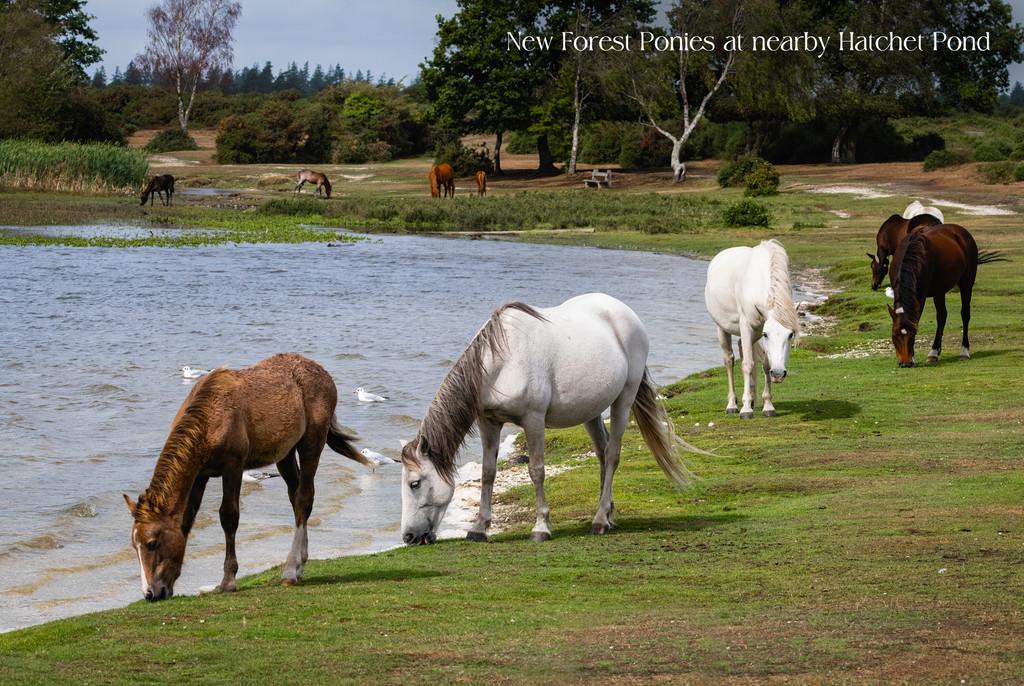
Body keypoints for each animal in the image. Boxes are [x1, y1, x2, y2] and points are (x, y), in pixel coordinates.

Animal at [122, 353, 371, 601]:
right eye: (135, 546)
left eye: (153, 543)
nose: (150, 593)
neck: (211, 417)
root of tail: (323, 373)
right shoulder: (199, 475)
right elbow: (187, 519)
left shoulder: (233, 466)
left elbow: (229, 516)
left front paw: (228, 580)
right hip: (285, 454)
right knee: (296, 497)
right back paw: (300, 565)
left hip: (312, 443)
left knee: (304, 498)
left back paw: (291, 569)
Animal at [399, 293, 692, 545]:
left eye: (415, 483)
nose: (409, 537)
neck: (501, 362)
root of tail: (626, 314)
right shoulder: (488, 422)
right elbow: (488, 473)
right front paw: (479, 528)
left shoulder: (533, 420)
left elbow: (536, 470)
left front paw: (541, 527)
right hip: (591, 411)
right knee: (602, 451)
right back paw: (607, 513)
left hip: (624, 400)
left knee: (612, 455)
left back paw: (599, 521)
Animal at [704, 239, 801, 418]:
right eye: (766, 334)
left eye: (790, 335)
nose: (778, 374)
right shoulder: (747, 327)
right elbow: (747, 364)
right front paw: (745, 409)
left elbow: (765, 365)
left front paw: (768, 405)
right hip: (722, 328)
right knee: (729, 360)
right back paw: (733, 404)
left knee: (744, 350)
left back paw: (752, 399)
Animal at [887, 224, 1005, 367]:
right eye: (894, 335)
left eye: (913, 334)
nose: (905, 363)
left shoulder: (921, 295)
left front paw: (913, 357)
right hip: (939, 290)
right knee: (942, 316)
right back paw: (934, 352)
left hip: (966, 284)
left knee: (965, 314)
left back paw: (964, 351)